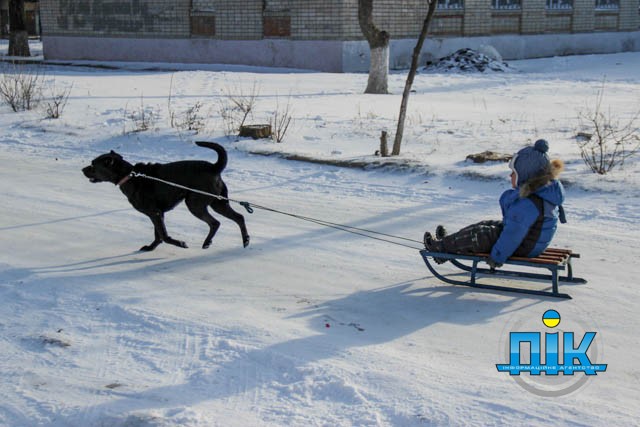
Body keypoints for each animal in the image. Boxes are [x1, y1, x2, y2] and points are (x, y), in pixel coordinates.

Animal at [80, 142, 250, 252]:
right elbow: (158, 234)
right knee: (238, 217)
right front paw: (151, 247)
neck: (129, 176)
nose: (82, 169)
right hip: (218, 202)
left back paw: (209, 242)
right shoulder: (158, 213)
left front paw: (180, 243)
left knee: (215, 222)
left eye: (93, 164)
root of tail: (214, 168)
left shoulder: (154, 212)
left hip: (195, 203)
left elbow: (163, 234)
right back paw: (244, 240)